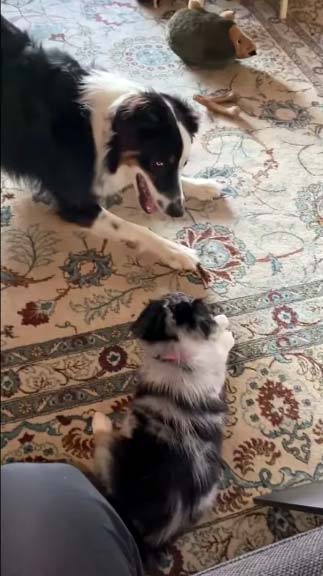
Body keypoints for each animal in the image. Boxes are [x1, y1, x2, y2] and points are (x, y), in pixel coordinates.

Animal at [92, 294, 234, 552]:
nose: (179, 295)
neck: (176, 350)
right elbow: (218, 342)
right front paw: (223, 324)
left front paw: (222, 325)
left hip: (111, 447)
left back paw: (99, 419)